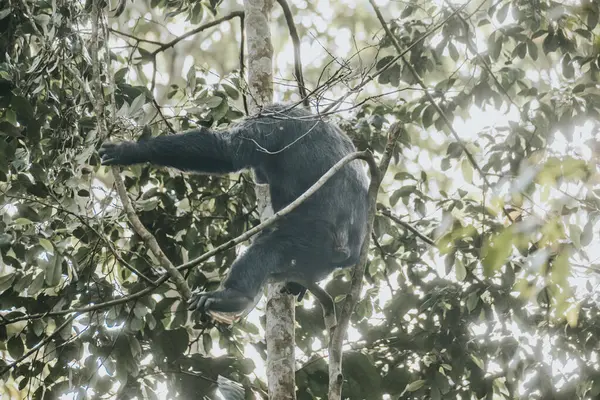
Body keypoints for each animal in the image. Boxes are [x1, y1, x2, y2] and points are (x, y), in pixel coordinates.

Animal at [101, 103, 368, 316]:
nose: (259, 176)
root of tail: (346, 254)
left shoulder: (269, 122)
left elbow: (226, 152)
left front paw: (131, 150)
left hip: (314, 238)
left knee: (268, 248)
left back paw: (232, 297)